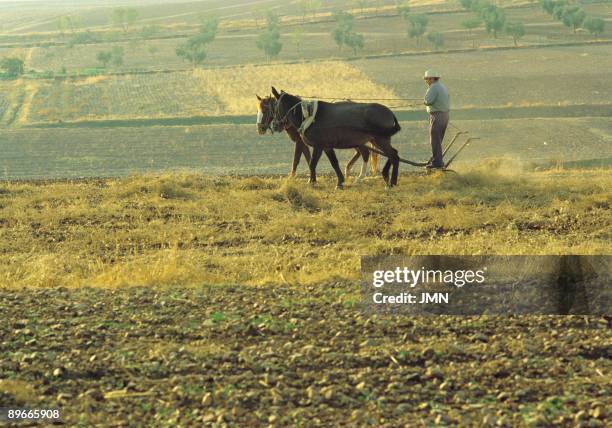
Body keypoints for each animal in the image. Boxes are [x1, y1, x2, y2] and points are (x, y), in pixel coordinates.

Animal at [270, 86, 404, 187]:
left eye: (275, 106)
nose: (275, 125)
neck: (308, 116)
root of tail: (390, 112)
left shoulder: (319, 146)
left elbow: (313, 163)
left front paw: (311, 181)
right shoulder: (327, 147)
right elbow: (334, 163)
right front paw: (340, 181)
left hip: (380, 139)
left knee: (393, 155)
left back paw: (391, 182)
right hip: (378, 140)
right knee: (392, 154)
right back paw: (385, 176)